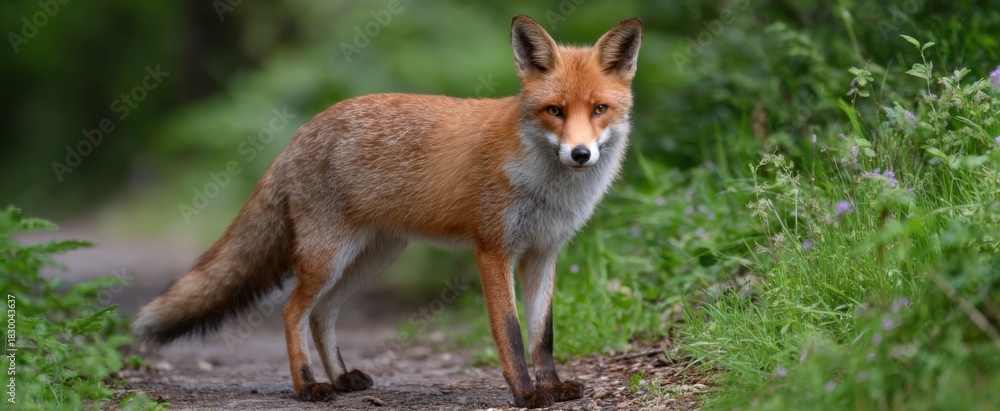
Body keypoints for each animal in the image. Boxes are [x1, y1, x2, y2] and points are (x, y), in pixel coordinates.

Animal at [133, 15, 642, 409]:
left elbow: (543, 334)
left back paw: (341, 378)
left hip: (369, 258)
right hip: (328, 258)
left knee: (322, 315)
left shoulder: (543, 253)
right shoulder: (493, 250)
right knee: (293, 310)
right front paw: (527, 394)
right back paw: (309, 385)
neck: (548, 188)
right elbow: (511, 333)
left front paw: (553, 386)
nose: (580, 154)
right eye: (555, 111)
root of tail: (300, 133)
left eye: (599, 109)